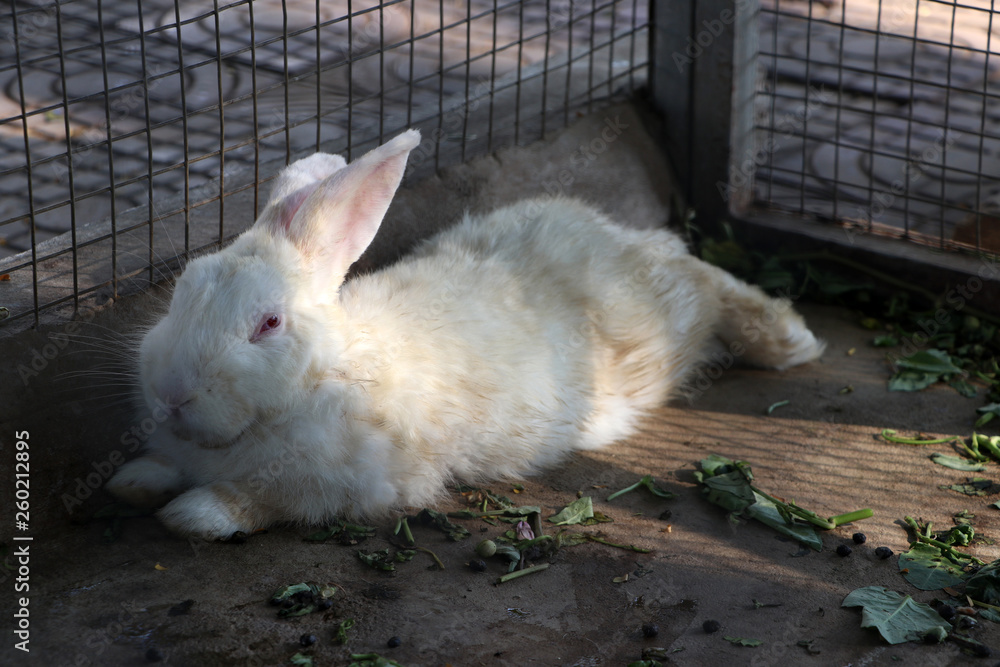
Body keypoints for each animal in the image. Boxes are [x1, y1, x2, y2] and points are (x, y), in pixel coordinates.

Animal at [106, 129, 825, 539]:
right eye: (183, 287)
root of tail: (609, 233)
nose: (171, 394)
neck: (323, 373)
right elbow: (163, 468)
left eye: (269, 324)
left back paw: (791, 340)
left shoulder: (339, 487)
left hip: (663, 319)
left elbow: (259, 501)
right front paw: (134, 481)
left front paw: (194, 515)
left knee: (705, 281)